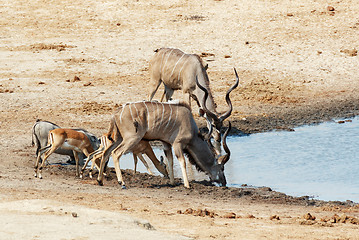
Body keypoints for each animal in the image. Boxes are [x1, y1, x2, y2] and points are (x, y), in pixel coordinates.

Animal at [96, 100, 231, 188]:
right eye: (222, 168)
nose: (224, 182)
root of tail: (116, 113)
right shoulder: (177, 144)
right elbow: (182, 161)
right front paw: (187, 185)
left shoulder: (166, 144)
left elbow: (170, 160)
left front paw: (172, 182)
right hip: (131, 138)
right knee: (115, 153)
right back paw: (121, 182)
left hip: (118, 138)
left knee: (106, 152)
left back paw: (100, 180)